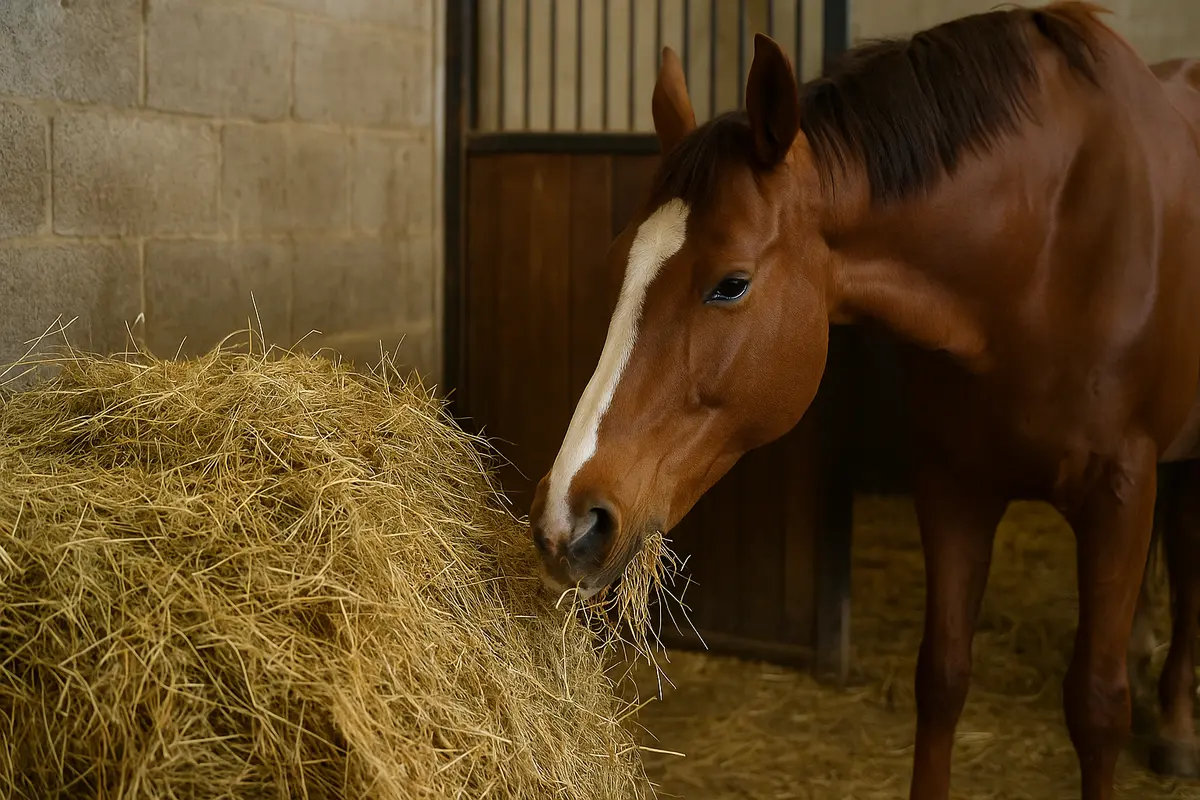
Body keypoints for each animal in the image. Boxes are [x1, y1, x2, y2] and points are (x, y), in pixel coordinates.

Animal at [526, 3, 1200, 798]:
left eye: (731, 283)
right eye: (617, 265)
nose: (566, 521)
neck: (1043, 251)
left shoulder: (1119, 492)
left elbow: (1096, 707)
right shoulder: (952, 484)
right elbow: (942, 678)